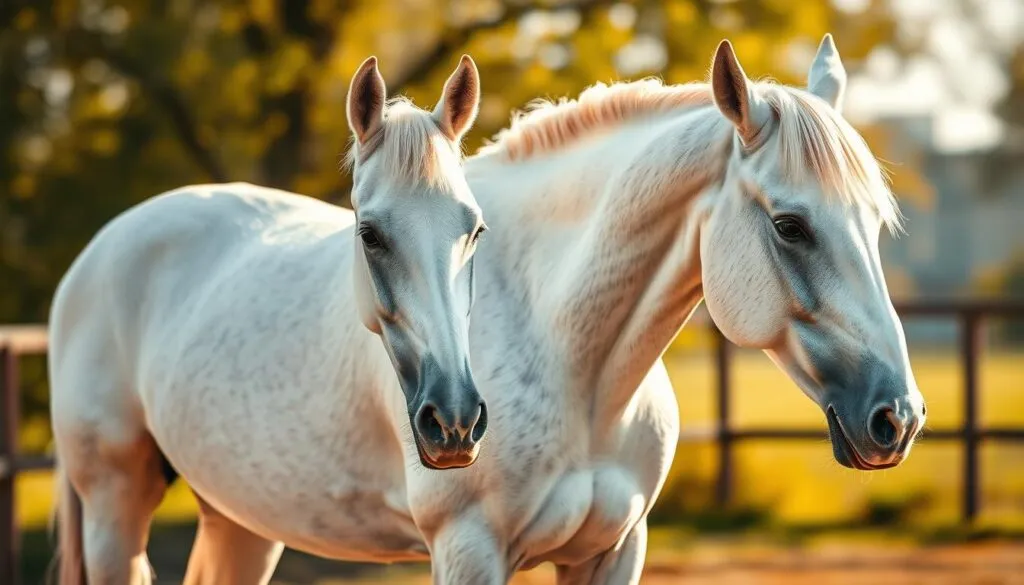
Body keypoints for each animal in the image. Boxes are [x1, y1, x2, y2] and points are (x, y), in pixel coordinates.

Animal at [49, 55, 488, 584]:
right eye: (369, 234)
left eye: (476, 230)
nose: (455, 420)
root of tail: (93, 254)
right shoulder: (467, 544)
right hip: (113, 508)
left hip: (238, 515)